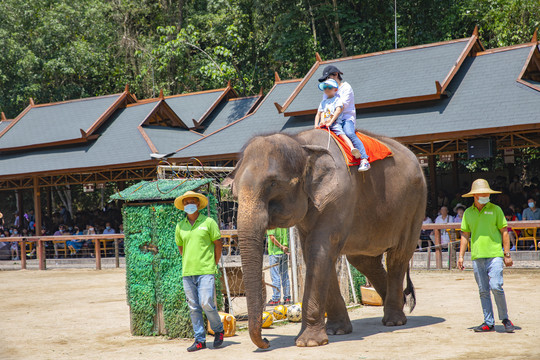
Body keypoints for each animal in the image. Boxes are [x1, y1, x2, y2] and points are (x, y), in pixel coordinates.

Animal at [228, 128, 426, 348]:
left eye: (273, 183)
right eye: (234, 191)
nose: (266, 341)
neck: (301, 143)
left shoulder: (338, 196)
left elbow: (319, 250)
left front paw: (308, 343)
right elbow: (314, 253)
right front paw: (336, 331)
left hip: (415, 204)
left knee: (397, 257)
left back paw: (394, 321)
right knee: (363, 259)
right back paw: (399, 304)